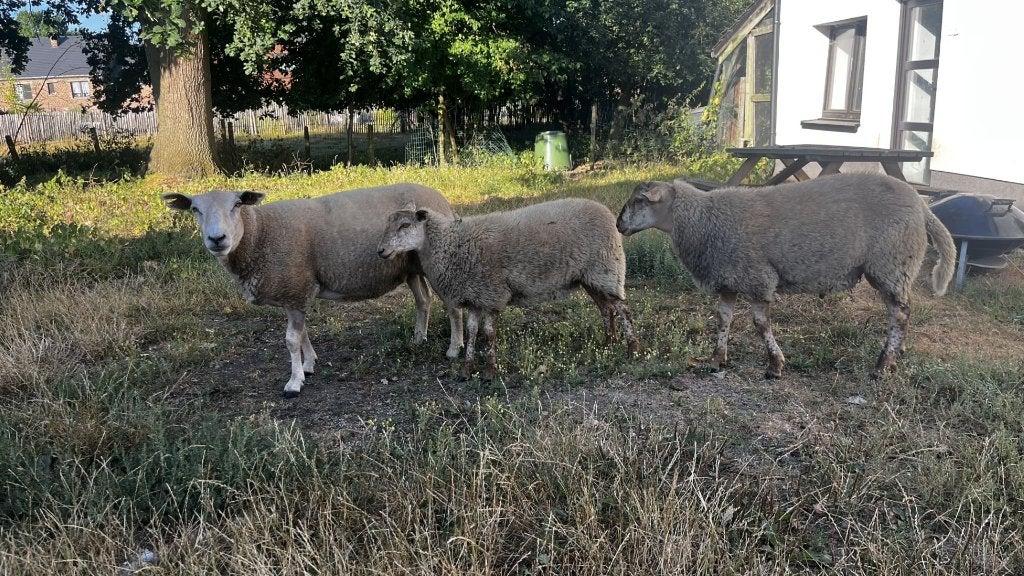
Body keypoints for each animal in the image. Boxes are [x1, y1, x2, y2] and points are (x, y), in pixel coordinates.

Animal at [162, 183, 464, 398]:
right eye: (195, 209)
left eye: (237, 204)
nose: (217, 239)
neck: (260, 233)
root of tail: (443, 200)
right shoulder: (295, 289)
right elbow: (303, 333)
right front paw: (308, 365)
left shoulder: (296, 288)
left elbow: (291, 340)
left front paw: (294, 382)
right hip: (409, 267)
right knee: (423, 300)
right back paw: (418, 339)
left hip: (436, 262)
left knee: (452, 305)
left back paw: (455, 347)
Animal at [377, 198, 640, 380]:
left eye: (405, 225)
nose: (380, 251)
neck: (450, 244)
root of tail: (607, 213)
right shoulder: (474, 296)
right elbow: (472, 332)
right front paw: (466, 370)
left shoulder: (492, 294)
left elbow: (488, 333)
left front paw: (489, 372)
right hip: (591, 277)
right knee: (606, 309)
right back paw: (609, 342)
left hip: (606, 269)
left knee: (623, 308)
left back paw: (632, 350)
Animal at [615, 172, 956, 378]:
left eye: (640, 200)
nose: (619, 225)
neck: (703, 219)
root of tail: (921, 206)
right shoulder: (728, 278)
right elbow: (723, 320)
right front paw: (716, 359)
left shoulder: (757, 277)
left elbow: (760, 324)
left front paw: (774, 364)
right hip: (892, 267)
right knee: (899, 314)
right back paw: (893, 357)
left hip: (891, 263)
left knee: (900, 315)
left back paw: (883, 365)